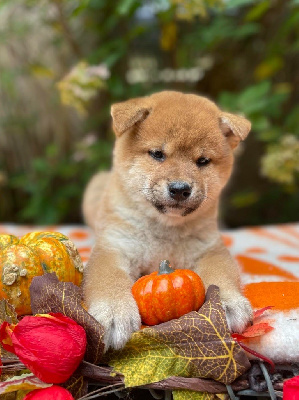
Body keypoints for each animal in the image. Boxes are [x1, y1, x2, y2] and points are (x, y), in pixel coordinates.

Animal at [83, 90, 254, 350]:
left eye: (202, 161)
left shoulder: (210, 249)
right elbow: (108, 279)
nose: (180, 189)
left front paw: (227, 303)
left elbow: (220, 273)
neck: (164, 230)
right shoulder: (114, 247)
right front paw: (114, 311)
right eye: (157, 154)